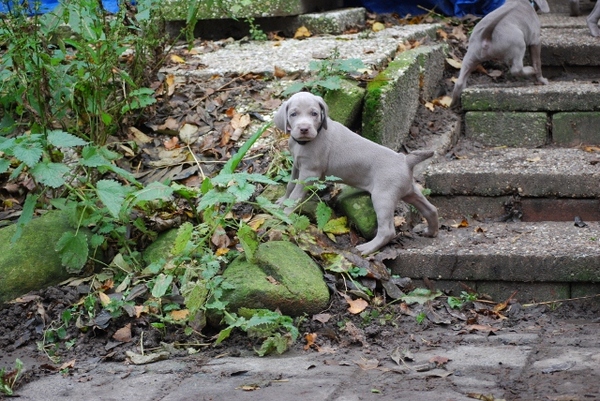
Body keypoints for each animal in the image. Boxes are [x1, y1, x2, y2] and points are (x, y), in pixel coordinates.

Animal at [274, 91, 438, 255]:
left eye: (314, 113)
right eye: (293, 114)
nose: (304, 129)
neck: (304, 143)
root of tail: (405, 160)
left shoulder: (309, 173)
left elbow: (295, 195)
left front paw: (285, 213)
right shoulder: (296, 166)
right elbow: (290, 185)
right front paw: (282, 201)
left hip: (383, 197)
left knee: (388, 231)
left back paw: (367, 248)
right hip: (409, 190)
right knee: (431, 209)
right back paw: (431, 232)